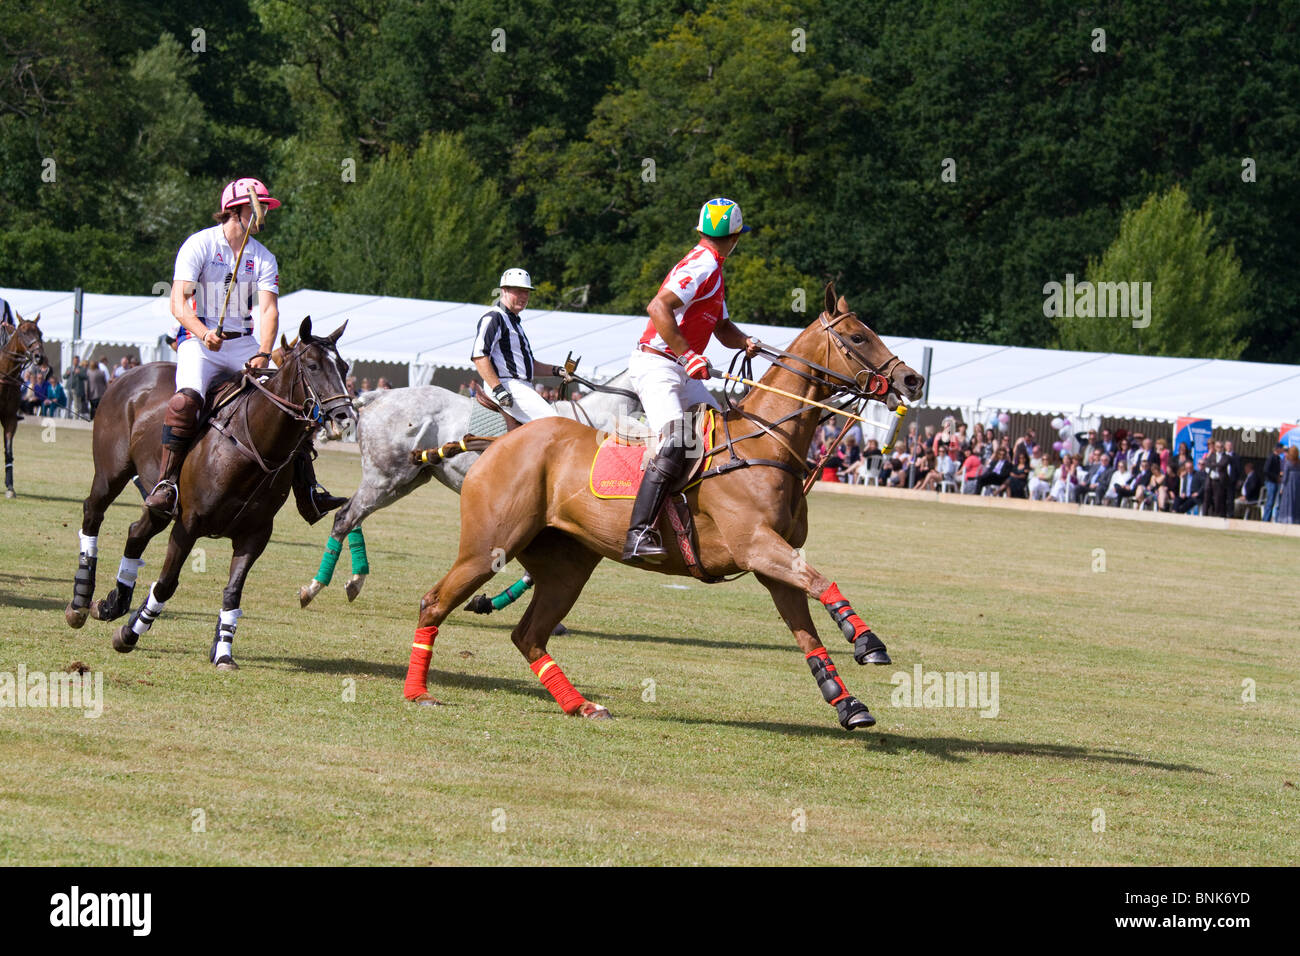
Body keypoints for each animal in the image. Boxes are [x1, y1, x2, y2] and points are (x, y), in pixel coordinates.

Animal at [0, 314, 47, 502]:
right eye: (24, 332)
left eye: (40, 333)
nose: (39, 357)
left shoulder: (10, 419)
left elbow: (8, 451)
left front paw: (10, 487)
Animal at [63, 317, 353, 671]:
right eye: (312, 366)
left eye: (344, 366)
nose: (345, 417)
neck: (254, 444)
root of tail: (129, 374)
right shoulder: (188, 524)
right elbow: (166, 584)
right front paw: (129, 634)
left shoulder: (255, 534)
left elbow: (232, 592)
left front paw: (223, 650)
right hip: (111, 472)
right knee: (93, 511)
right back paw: (80, 600)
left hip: (158, 501)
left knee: (136, 531)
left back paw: (112, 603)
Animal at [296, 371, 639, 606]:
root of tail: (375, 397)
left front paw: (486, 602)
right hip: (385, 477)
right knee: (345, 517)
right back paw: (313, 588)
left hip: (402, 481)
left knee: (354, 516)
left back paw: (353, 582)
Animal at [403, 287, 925, 728]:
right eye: (858, 336)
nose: (913, 378)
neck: (766, 442)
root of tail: (498, 440)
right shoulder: (756, 544)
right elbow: (820, 582)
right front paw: (867, 641)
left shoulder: (772, 562)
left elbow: (807, 632)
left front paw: (849, 704)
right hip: (489, 545)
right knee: (435, 602)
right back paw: (419, 693)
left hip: (567, 564)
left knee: (529, 634)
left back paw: (582, 706)